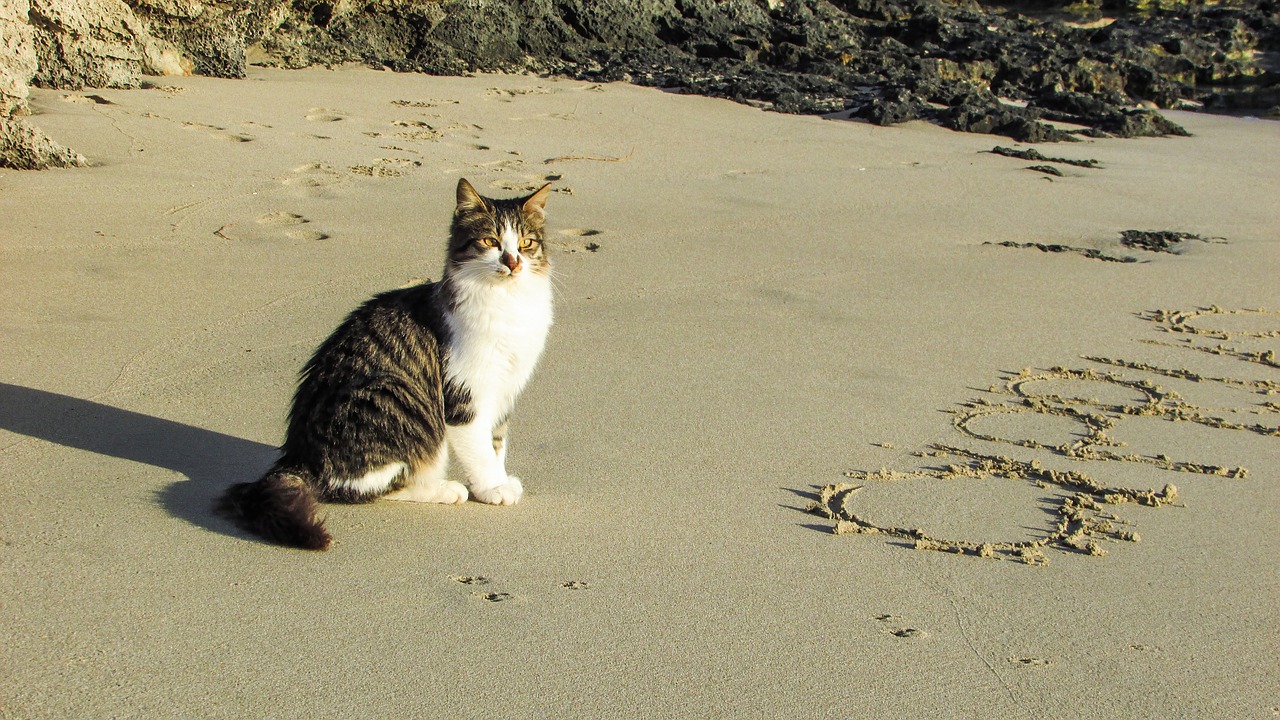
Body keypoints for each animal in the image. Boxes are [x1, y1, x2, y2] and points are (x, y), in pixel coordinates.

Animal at [216, 179, 555, 548]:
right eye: (490, 242)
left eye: (526, 243)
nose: (513, 263)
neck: (507, 303)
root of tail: (298, 457)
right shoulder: (464, 393)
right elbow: (479, 450)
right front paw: (492, 488)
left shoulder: (506, 389)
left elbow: (497, 443)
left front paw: (500, 478)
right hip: (397, 400)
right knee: (371, 487)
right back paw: (443, 489)